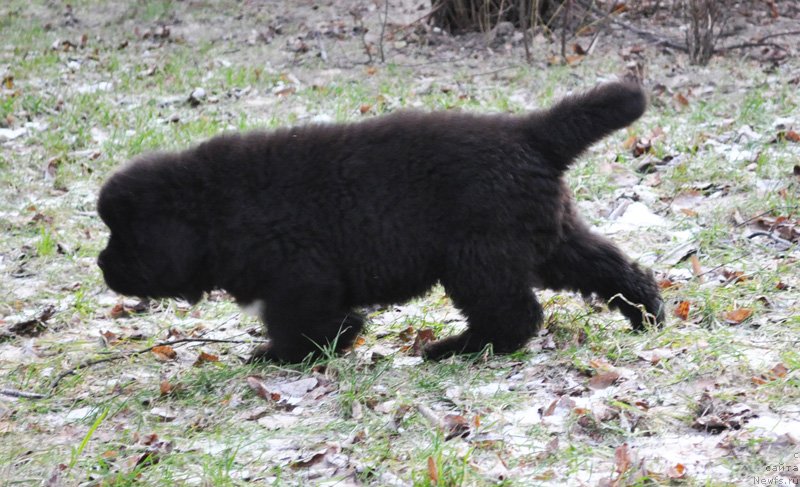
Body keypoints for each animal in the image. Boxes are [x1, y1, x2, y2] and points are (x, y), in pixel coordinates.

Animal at [98, 82, 664, 362]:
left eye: (123, 235)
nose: (101, 265)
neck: (213, 211)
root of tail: (529, 134)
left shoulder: (298, 276)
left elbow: (297, 321)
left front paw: (285, 356)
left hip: (477, 258)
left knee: (513, 314)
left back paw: (456, 350)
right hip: (549, 240)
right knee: (615, 268)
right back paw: (648, 315)